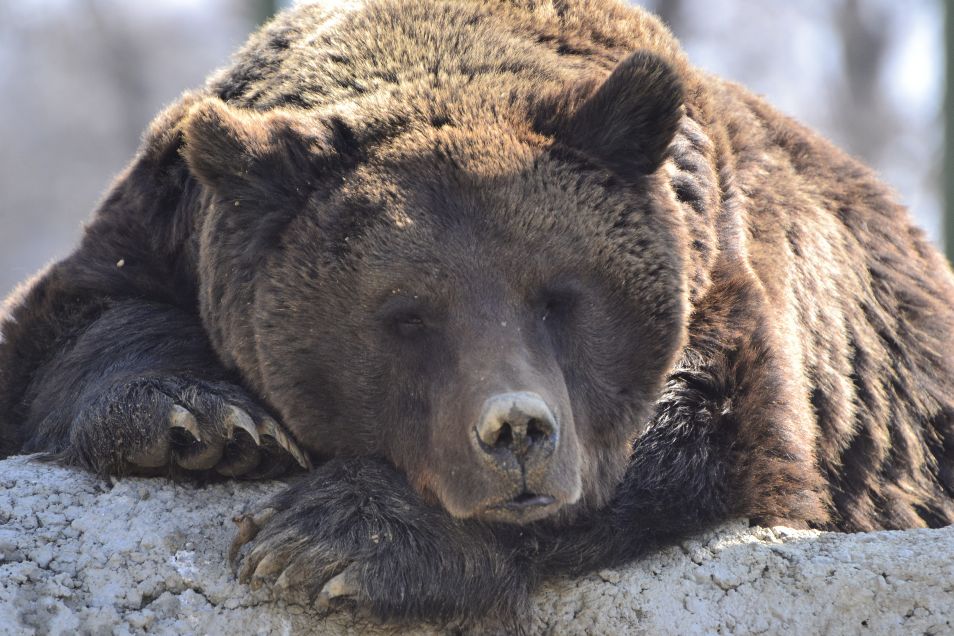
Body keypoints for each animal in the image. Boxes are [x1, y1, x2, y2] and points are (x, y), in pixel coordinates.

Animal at [2, 0, 954, 625]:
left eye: (560, 295)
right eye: (407, 314)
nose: (516, 431)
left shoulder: (722, 272)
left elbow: (704, 426)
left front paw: (334, 537)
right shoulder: (167, 223)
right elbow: (80, 327)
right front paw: (204, 423)